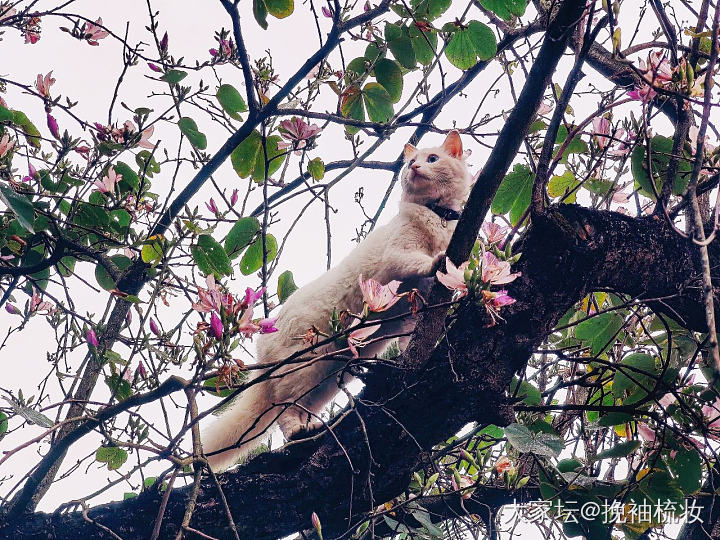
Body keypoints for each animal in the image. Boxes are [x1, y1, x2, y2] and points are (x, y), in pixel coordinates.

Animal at [202, 132, 472, 472]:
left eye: (432, 159)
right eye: (412, 161)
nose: (414, 167)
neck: (438, 216)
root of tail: (264, 349)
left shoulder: (414, 313)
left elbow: (415, 337)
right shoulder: (397, 257)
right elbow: (420, 262)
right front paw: (439, 261)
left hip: (326, 378)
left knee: (295, 408)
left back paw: (311, 430)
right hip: (304, 367)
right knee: (284, 413)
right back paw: (301, 434)